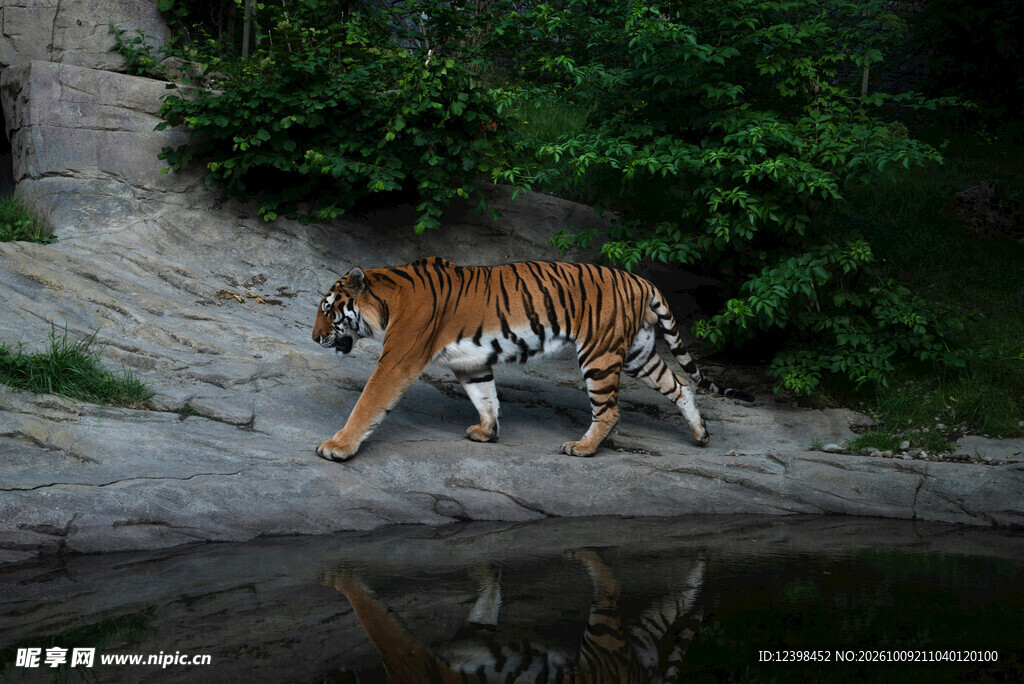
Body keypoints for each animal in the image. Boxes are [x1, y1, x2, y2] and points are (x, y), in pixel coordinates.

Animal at [312, 257, 753, 462]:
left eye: (328, 310)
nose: (315, 337)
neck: (387, 298)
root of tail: (640, 279)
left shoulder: (398, 360)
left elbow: (368, 403)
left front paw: (337, 447)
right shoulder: (471, 362)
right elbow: (486, 397)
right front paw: (486, 432)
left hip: (600, 353)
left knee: (609, 410)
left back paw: (581, 448)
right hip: (638, 354)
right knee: (680, 385)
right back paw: (701, 435)